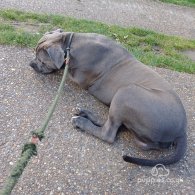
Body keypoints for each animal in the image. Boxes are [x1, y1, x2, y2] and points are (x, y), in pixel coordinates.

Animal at [29, 29, 187, 166]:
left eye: (41, 60)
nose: (31, 64)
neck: (69, 43)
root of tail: (182, 131)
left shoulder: (79, 77)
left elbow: (65, 70)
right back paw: (84, 113)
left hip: (127, 93)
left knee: (108, 133)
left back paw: (80, 122)